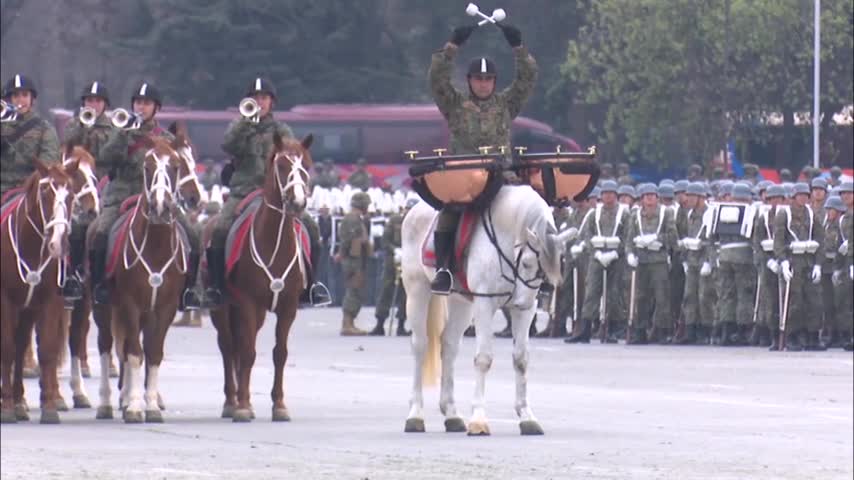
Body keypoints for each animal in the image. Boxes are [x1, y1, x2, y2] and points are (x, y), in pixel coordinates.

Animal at [0, 158, 80, 424]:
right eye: (46, 192)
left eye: (71, 194)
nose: (58, 244)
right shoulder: (5, 301)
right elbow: (6, 348)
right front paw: (5, 408)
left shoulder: (49, 301)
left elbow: (46, 349)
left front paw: (49, 408)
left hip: (28, 311)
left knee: (21, 345)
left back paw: (20, 402)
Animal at [88, 136, 189, 424]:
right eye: (147, 166)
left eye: (176, 166)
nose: (160, 206)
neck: (156, 246)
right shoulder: (130, 304)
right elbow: (134, 353)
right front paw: (134, 406)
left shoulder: (164, 308)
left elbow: (152, 353)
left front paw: (150, 406)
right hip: (102, 307)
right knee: (107, 345)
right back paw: (107, 402)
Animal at [211, 133, 314, 422]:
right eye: (281, 165)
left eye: (306, 165)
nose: (298, 202)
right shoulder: (247, 303)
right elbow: (247, 352)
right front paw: (244, 406)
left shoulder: (289, 307)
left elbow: (280, 353)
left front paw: (279, 405)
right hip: (222, 308)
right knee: (228, 347)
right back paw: (232, 401)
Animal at [402, 184, 576, 436]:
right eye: (527, 263)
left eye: (557, 262)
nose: (522, 301)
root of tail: (414, 210)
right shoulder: (485, 303)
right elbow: (483, 358)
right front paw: (478, 419)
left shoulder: (525, 311)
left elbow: (521, 359)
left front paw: (527, 416)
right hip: (417, 290)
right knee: (420, 346)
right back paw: (415, 414)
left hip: (462, 303)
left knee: (449, 345)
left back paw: (451, 413)